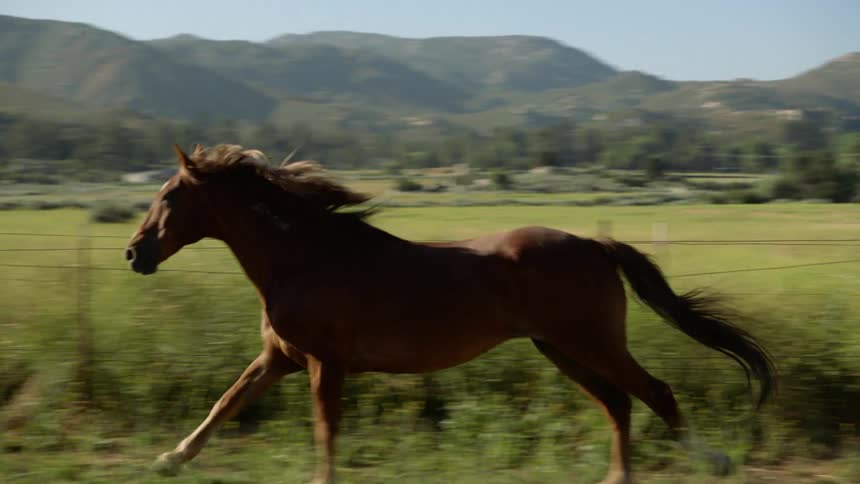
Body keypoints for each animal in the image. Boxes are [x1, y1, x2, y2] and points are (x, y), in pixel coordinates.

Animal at [125, 144, 776, 484]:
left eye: (170, 195)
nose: (135, 253)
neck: (306, 257)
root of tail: (595, 244)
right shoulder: (279, 358)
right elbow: (225, 403)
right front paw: (168, 459)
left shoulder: (324, 363)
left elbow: (324, 430)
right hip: (560, 348)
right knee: (618, 403)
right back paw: (618, 478)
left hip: (590, 342)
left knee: (654, 392)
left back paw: (714, 461)